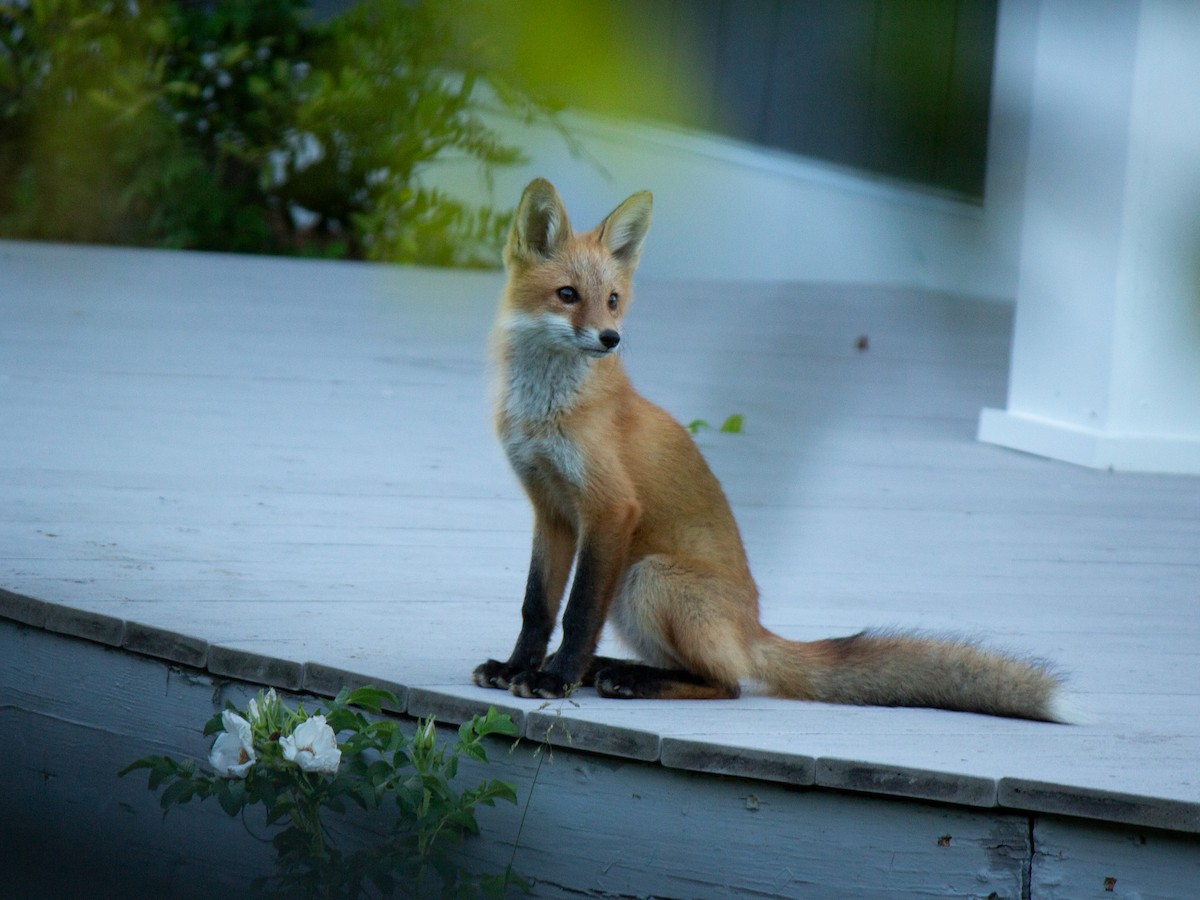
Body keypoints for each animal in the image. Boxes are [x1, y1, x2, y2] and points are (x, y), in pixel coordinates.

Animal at [472, 177, 1072, 722]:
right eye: (568, 295)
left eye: (613, 301)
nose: (610, 338)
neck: (545, 413)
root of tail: (753, 628)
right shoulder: (551, 509)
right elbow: (536, 607)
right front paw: (517, 668)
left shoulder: (610, 508)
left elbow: (576, 614)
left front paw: (555, 679)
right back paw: (609, 669)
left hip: (647, 578)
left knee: (727, 682)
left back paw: (626, 677)